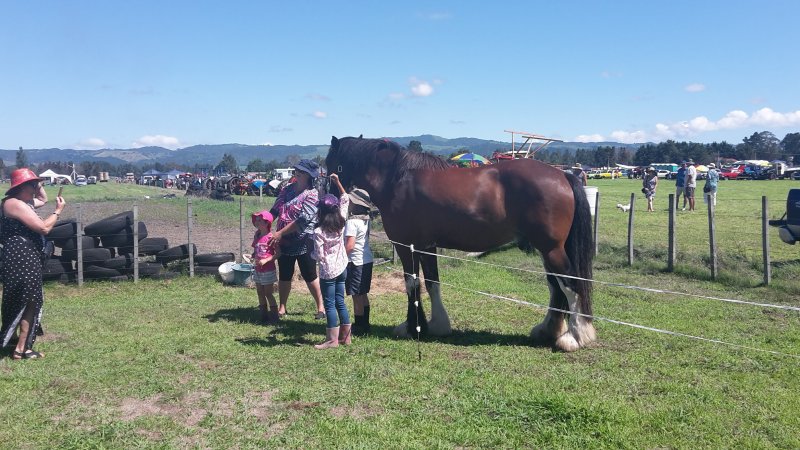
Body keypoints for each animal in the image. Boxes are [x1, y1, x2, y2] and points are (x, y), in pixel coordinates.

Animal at [328, 137, 596, 352]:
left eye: (330, 164)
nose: (331, 198)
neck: (397, 179)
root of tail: (563, 175)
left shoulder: (406, 246)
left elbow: (412, 283)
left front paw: (412, 327)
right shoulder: (427, 246)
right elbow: (432, 282)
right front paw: (437, 325)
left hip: (551, 249)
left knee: (571, 284)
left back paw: (574, 337)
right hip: (546, 250)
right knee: (555, 287)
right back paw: (547, 331)